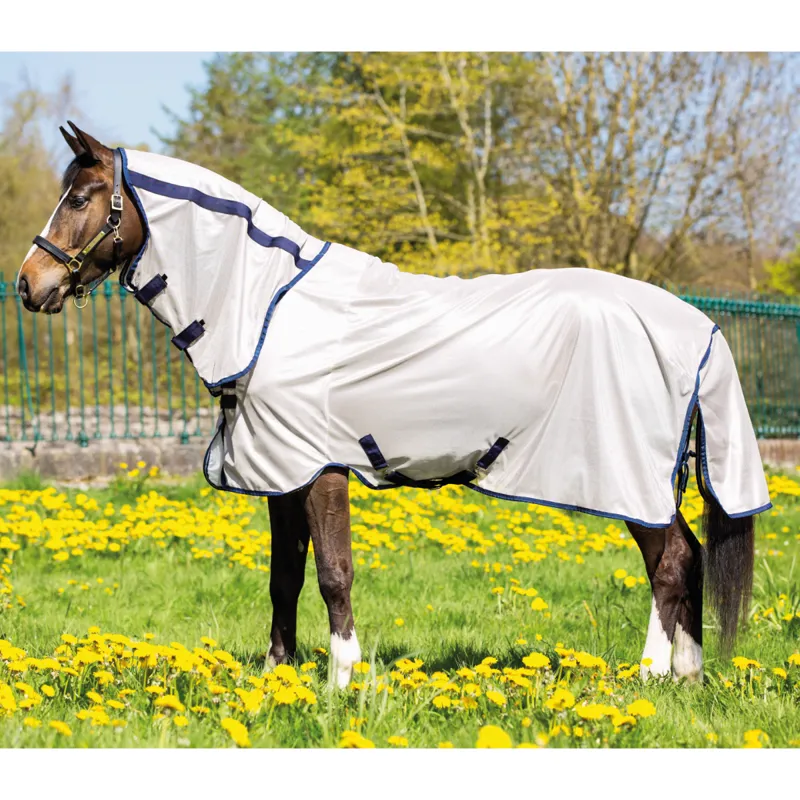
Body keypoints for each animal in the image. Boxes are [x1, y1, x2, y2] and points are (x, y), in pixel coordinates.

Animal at [17, 122, 770, 688]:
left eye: (81, 197)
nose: (30, 283)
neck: (269, 308)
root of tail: (695, 324)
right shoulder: (281, 473)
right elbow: (284, 577)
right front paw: (279, 676)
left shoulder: (319, 468)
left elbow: (333, 574)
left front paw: (342, 680)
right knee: (687, 558)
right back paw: (685, 676)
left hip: (630, 476)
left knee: (668, 564)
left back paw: (650, 675)